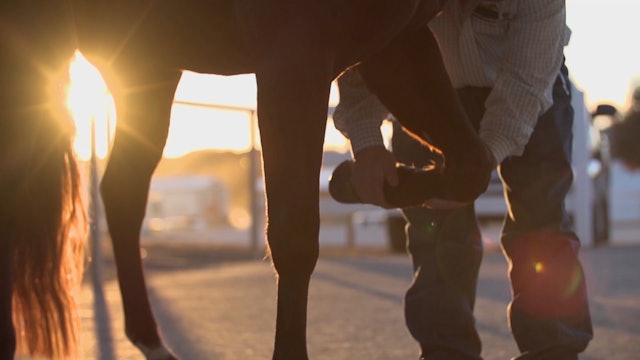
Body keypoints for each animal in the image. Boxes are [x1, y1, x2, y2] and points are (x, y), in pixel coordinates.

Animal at [0, 1, 496, 358]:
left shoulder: (397, 44)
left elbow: (472, 165)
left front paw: (361, 180)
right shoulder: (293, 55)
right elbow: (294, 239)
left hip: (147, 67)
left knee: (122, 192)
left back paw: (149, 338)